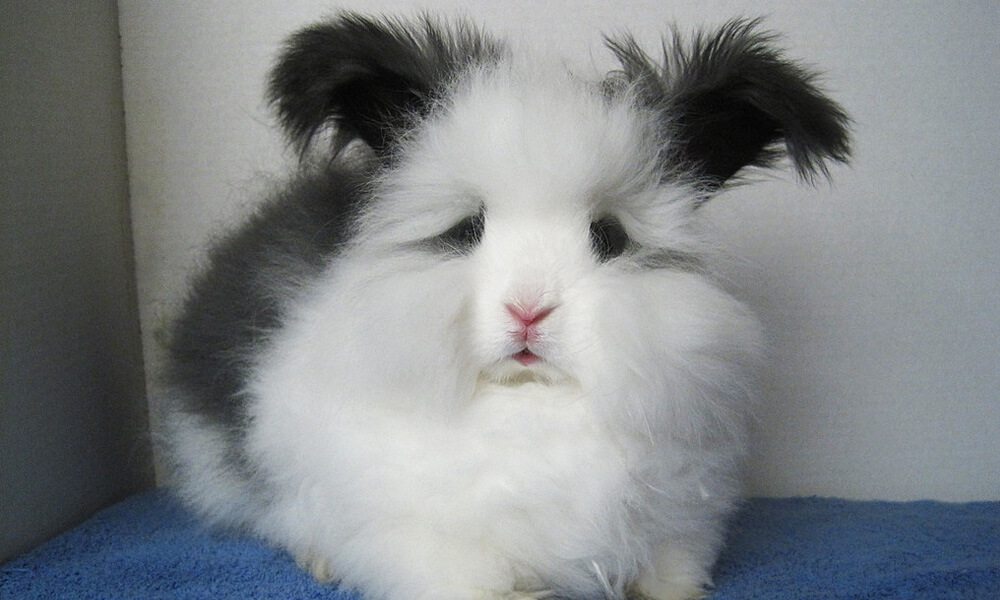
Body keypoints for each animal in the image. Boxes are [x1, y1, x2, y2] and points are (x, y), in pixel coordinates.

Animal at [160, 12, 848, 600]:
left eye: (609, 237)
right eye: (467, 229)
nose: (528, 310)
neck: (529, 405)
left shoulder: (679, 520)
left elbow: (669, 573)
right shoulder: (424, 543)